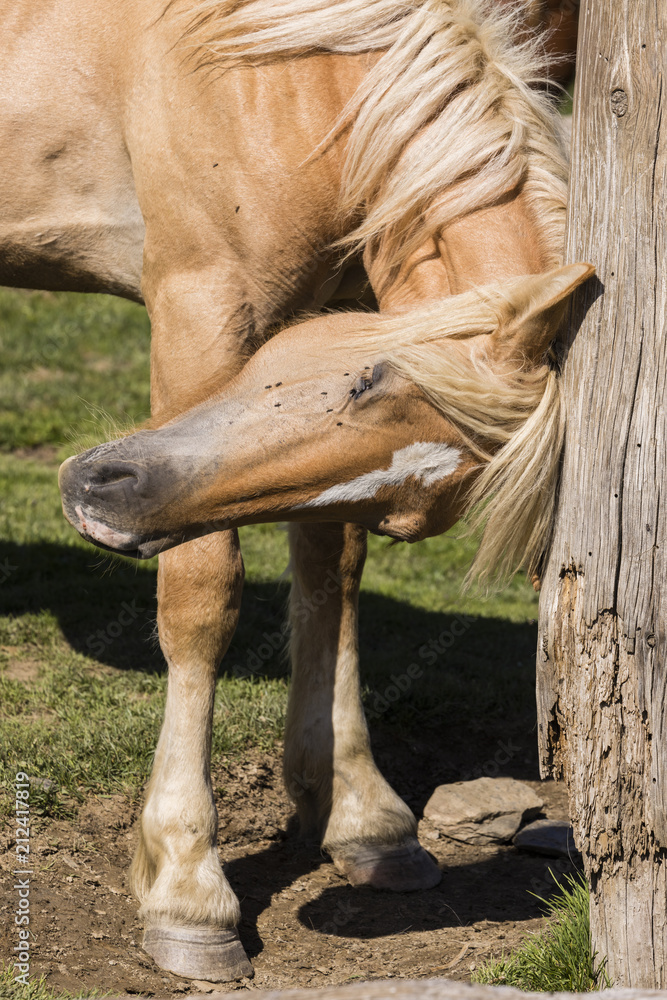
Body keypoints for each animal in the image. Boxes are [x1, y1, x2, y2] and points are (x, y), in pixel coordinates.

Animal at [2, 0, 580, 976]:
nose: (99, 489)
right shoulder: (198, 306)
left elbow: (331, 578)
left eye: (403, 511)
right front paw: (187, 888)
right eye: (367, 378)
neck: (284, 77)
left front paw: (363, 818)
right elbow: (203, 595)